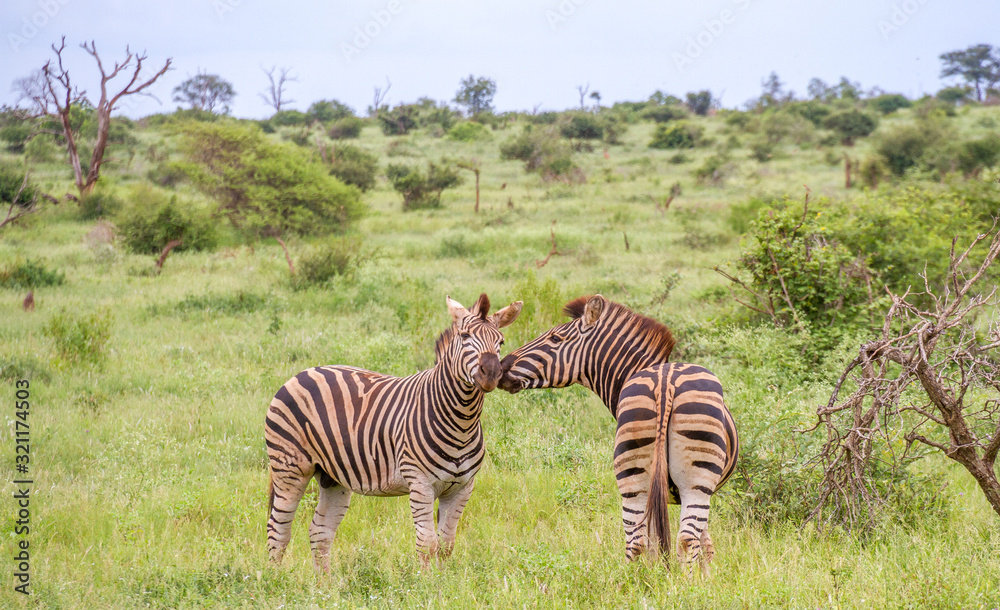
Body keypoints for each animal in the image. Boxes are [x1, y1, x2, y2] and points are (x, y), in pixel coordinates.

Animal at [265, 293, 522, 572]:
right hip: (290, 468)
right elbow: (427, 544)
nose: (492, 373)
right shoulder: (420, 483)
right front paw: (428, 582)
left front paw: (445, 581)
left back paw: (325, 582)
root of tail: (303, 372)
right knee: (278, 531)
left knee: (319, 531)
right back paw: (276, 579)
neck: (461, 422)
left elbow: (446, 545)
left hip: (332, 475)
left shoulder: (462, 487)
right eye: (464, 336)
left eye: (501, 342)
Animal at [498, 294, 738, 575]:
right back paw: (683, 584)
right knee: (683, 540)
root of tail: (665, 380)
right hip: (693, 481)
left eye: (555, 339)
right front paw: (700, 577)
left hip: (636, 473)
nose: (500, 368)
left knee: (637, 541)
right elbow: (700, 544)